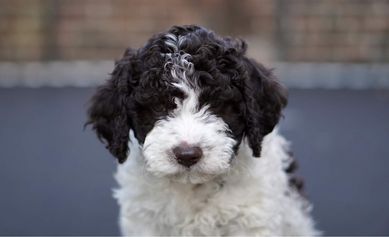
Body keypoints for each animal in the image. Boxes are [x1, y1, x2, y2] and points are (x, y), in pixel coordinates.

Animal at [86, 24, 316, 235]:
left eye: (216, 104)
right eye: (158, 106)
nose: (187, 155)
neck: (193, 187)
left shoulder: (253, 220)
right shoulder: (145, 220)